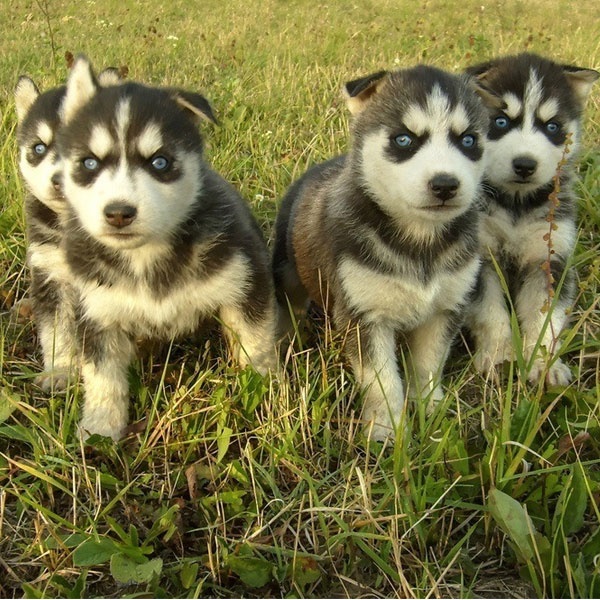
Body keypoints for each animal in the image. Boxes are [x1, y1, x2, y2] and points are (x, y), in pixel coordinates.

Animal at [56, 57, 276, 440]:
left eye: (159, 162)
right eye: (89, 163)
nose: (118, 212)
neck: (145, 257)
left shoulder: (245, 282)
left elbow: (256, 342)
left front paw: (263, 390)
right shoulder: (95, 308)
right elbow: (102, 376)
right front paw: (100, 430)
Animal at [274, 67, 494, 440]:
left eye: (468, 141)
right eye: (403, 140)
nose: (445, 185)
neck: (420, 241)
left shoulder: (446, 308)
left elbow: (430, 362)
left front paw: (431, 410)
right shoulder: (366, 315)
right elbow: (381, 379)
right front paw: (384, 429)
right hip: (289, 269)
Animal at [464, 54, 596, 386]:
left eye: (552, 127)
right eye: (500, 121)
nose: (525, 164)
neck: (516, 206)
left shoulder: (547, 260)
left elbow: (544, 318)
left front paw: (545, 364)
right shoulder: (481, 258)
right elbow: (490, 312)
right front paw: (499, 356)